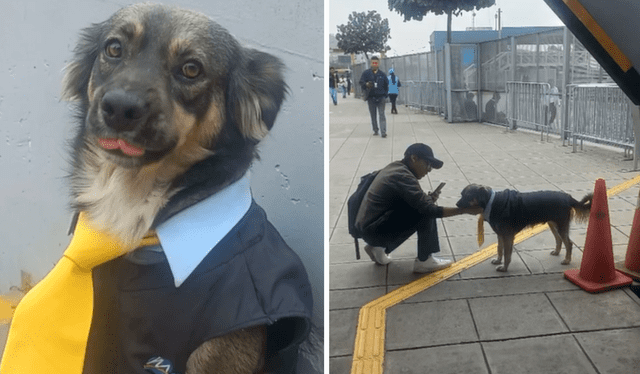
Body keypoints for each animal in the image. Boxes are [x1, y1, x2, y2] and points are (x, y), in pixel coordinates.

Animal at [456, 184, 592, 272]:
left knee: (568, 243)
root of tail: (568, 197)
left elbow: (507, 254)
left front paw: (504, 268)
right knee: (559, 239)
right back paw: (557, 252)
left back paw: (567, 260)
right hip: (553, 224)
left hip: (561, 225)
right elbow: (499, 249)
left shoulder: (507, 236)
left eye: (468, 195)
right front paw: (498, 261)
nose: (456, 204)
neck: (492, 202)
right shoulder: (500, 234)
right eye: (461, 194)